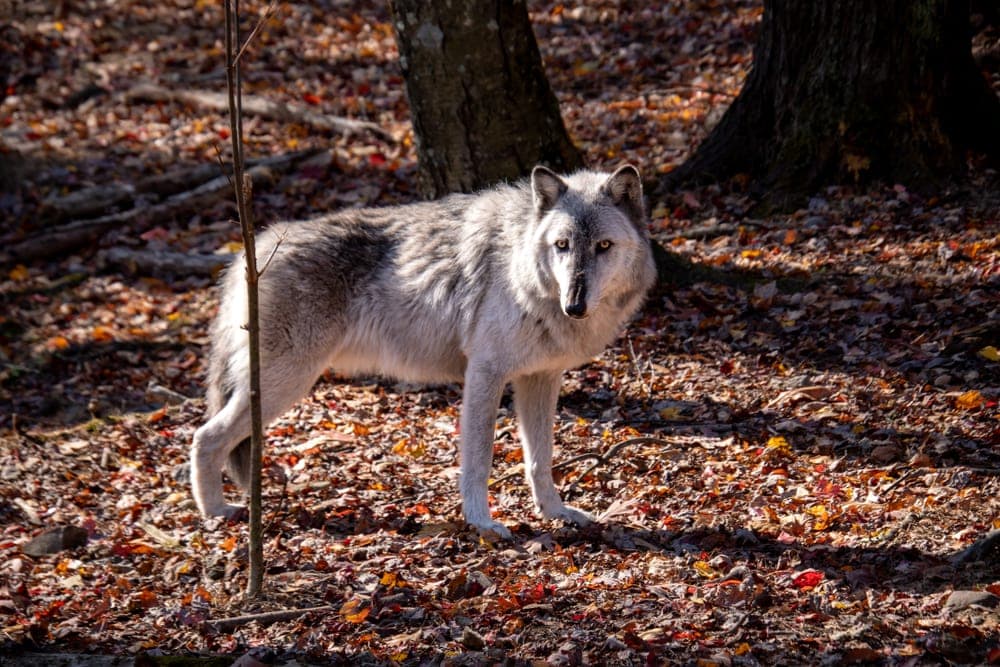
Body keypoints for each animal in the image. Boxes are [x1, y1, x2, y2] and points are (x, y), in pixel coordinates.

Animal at [190, 164, 657, 538]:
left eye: (603, 246)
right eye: (562, 245)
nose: (574, 305)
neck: (519, 270)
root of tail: (251, 250)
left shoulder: (539, 378)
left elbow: (540, 460)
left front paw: (555, 512)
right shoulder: (485, 373)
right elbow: (479, 460)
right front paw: (482, 523)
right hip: (285, 383)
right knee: (204, 436)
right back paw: (216, 514)